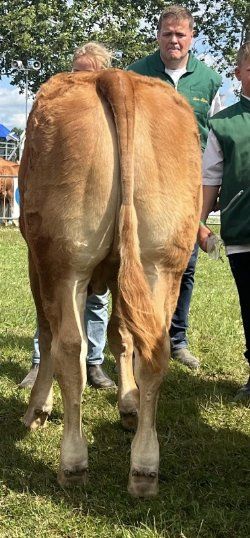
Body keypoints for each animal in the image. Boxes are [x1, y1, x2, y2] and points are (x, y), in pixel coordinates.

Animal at [18, 69, 201, 496]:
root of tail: (113, 75)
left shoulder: (38, 264)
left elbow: (49, 335)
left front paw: (38, 408)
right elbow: (122, 335)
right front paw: (129, 403)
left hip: (63, 261)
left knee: (70, 347)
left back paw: (72, 462)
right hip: (161, 263)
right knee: (155, 349)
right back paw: (145, 466)